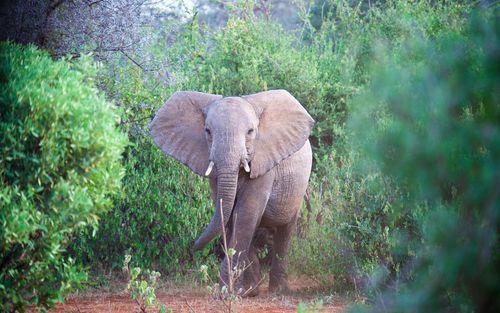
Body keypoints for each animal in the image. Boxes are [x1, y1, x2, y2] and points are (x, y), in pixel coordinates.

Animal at [149, 88, 312, 294]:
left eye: (250, 132)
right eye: (207, 131)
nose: (192, 247)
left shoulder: (264, 161)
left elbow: (245, 214)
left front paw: (227, 293)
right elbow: (228, 216)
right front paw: (245, 291)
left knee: (285, 230)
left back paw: (278, 290)